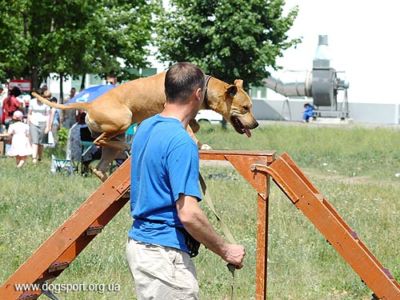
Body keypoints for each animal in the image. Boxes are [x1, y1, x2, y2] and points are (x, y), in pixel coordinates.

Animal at [34, 72, 260, 180]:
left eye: (251, 106)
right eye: (245, 107)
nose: (256, 123)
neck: (204, 88)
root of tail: (90, 103)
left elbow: (194, 126)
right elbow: (190, 131)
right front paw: (201, 145)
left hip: (116, 137)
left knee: (100, 165)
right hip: (124, 119)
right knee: (100, 140)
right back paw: (126, 148)